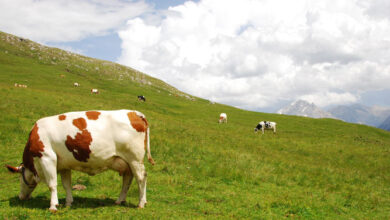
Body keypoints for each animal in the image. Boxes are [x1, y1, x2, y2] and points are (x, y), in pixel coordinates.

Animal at [4, 109, 154, 211]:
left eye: (19, 178)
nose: (20, 197)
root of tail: (135, 113)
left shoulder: (47, 157)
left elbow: (52, 184)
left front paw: (53, 206)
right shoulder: (63, 164)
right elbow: (66, 184)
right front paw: (68, 203)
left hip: (135, 159)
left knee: (141, 178)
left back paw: (141, 203)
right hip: (125, 161)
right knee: (128, 179)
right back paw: (120, 200)